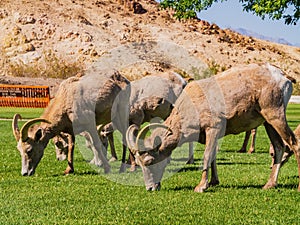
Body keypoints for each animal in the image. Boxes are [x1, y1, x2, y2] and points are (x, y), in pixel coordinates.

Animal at [127, 62, 300, 192]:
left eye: (149, 161)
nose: (150, 188)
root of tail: (282, 77)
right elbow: (213, 157)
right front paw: (213, 182)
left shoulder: (213, 128)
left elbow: (207, 156)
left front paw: (201, 187)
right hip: (267, 122)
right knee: (279, 147)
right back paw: (269, 185)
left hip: (275, 115)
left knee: (294, 143)